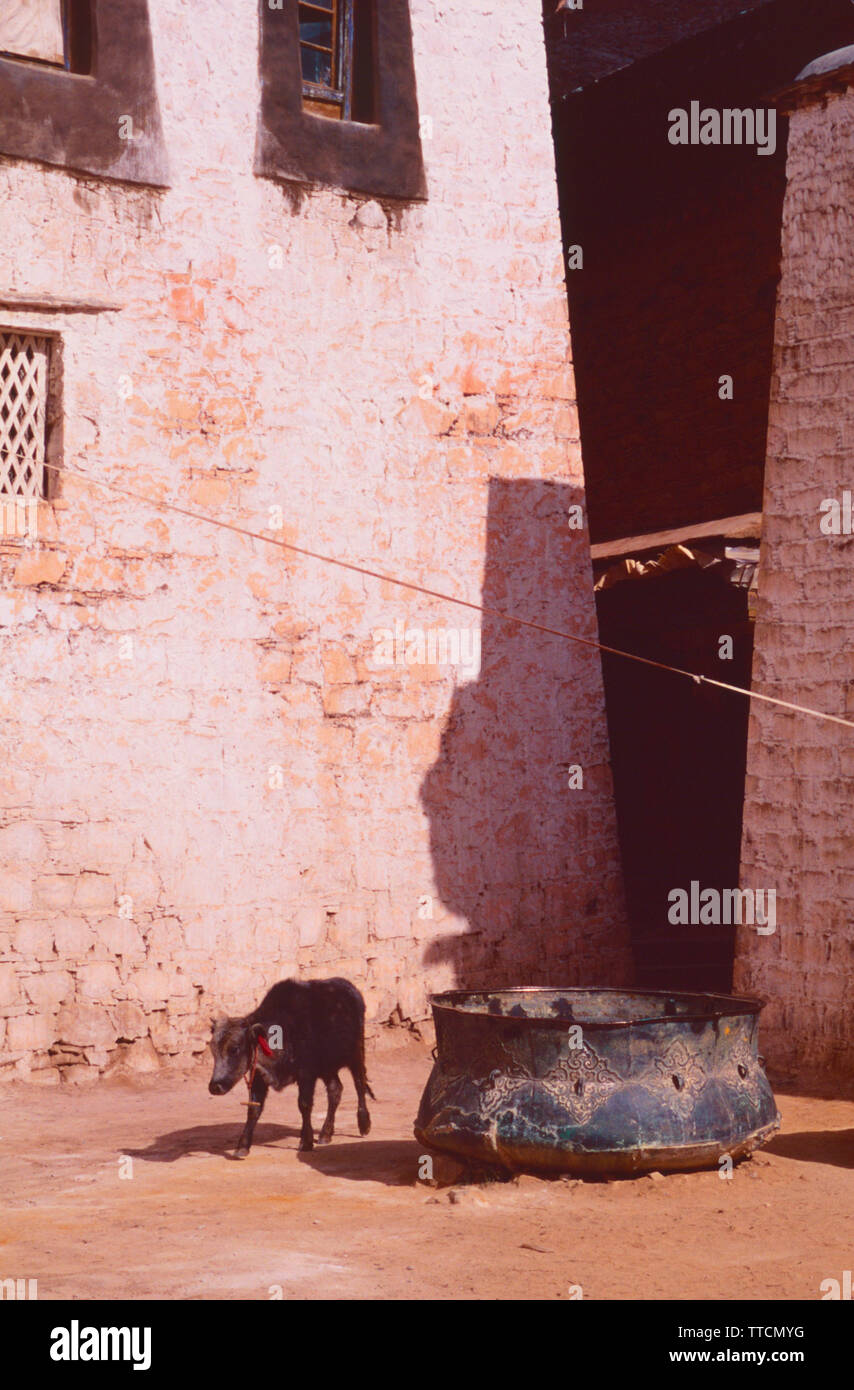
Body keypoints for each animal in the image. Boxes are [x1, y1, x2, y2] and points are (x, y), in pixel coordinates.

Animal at [208, 978, 375, 1162]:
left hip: (356, 1053)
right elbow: (254, 1109)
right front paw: (242, 1147)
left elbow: (304, 1105)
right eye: (213, 1050)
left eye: (235, 1049)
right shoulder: (259, 1076)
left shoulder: (306, 1075)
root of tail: (347, 986)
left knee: (359, 1084)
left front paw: (306, 1142)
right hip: (327, 1067)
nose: (215, 1087)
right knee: (335, 1090)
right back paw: (325, 1134)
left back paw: (364, 1124)